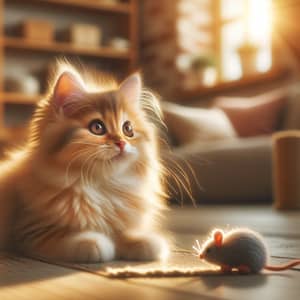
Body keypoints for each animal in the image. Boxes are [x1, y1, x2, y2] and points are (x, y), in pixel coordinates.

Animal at [0, 63, 169, 262]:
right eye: (97, 127)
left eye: (128, 129)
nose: (121, 143)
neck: (102, 187)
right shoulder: (30, 230)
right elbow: (69, 239)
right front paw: (96, 242)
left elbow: (125, 234)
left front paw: (143, 241)